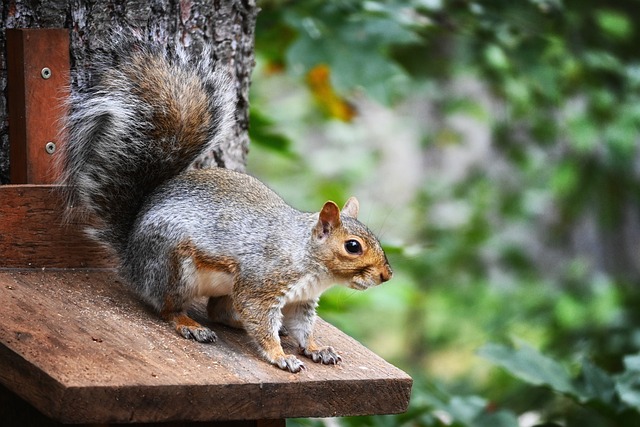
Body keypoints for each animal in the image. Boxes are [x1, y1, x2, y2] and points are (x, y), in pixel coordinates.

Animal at [60, 37, 392, 374]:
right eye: (353, 246)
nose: (386, 276)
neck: (308, 259)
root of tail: (131, 254)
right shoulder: (261, 285)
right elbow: (259, 319)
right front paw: (281, 356)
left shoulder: (300, 301)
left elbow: (302, 328)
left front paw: (315, 348)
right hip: (172, 265)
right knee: (167, 307)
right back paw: (189, 324)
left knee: (218, 312)